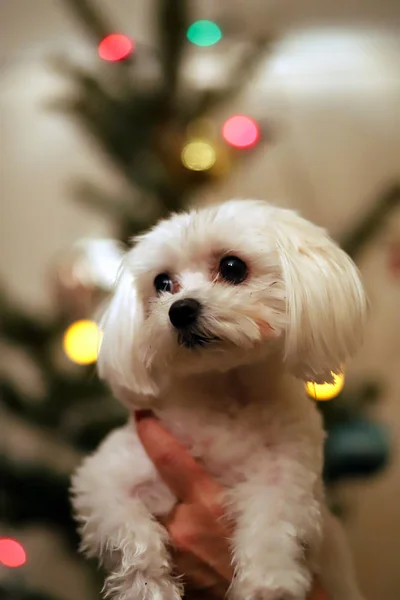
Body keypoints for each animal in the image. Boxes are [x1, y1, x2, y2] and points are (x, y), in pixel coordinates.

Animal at [71, 200, 366, 600]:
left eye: (232, 267)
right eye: (162, 283)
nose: (179, 310)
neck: (224, 392)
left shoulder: (285, 477)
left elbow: (272, 528)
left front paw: (266, 585)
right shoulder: (107, 479)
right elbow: (131, 534)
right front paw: (149, 587)